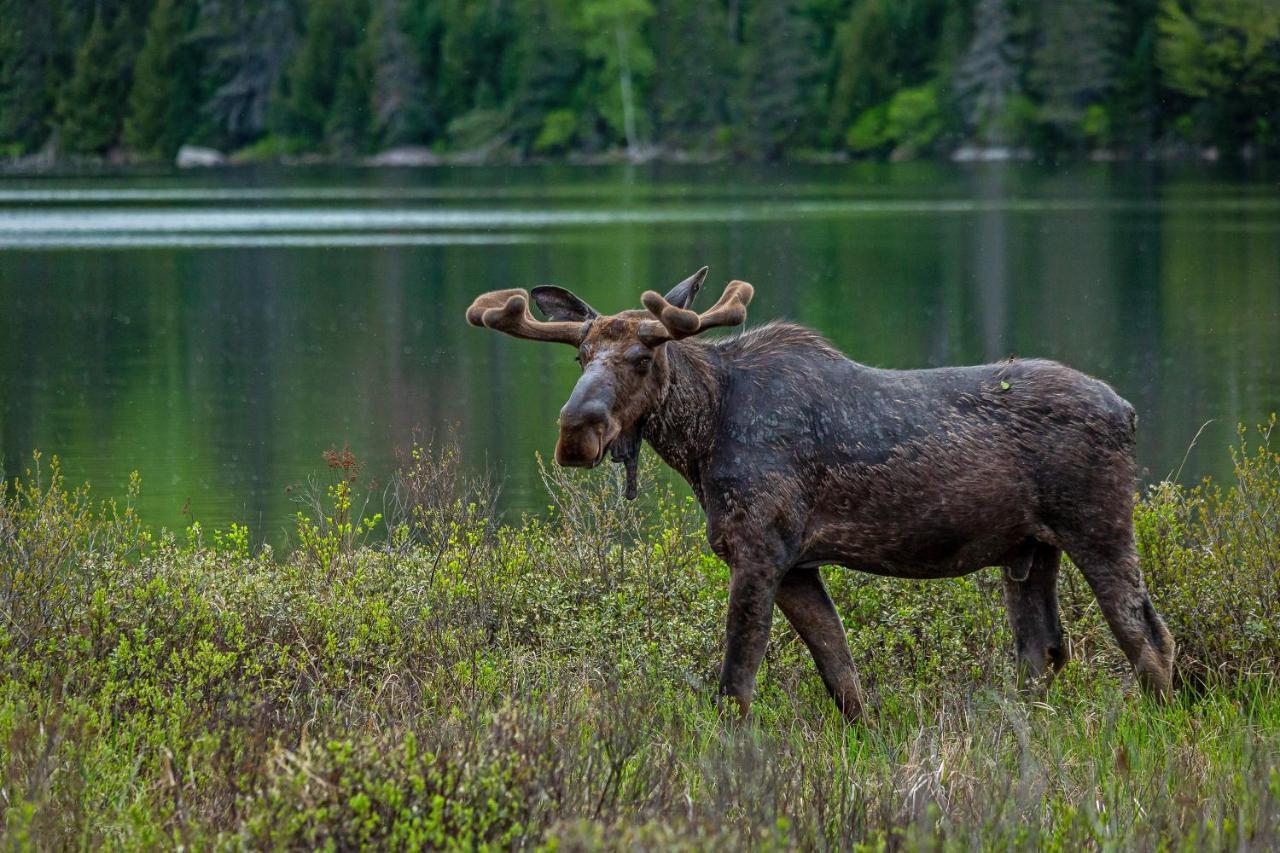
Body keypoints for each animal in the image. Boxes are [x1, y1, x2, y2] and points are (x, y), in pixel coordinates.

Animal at [465, 268, 1172, 722]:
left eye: (643, 356)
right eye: (580, 354)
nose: (575, 431)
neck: (701, 437)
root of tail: (1131, 411)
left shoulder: (759, 549)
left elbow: (736, 685)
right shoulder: (798, 564)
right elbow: (843, 677)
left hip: (1099, 526)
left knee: (1145, 637)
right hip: (1029, 551)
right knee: (1044, 652)